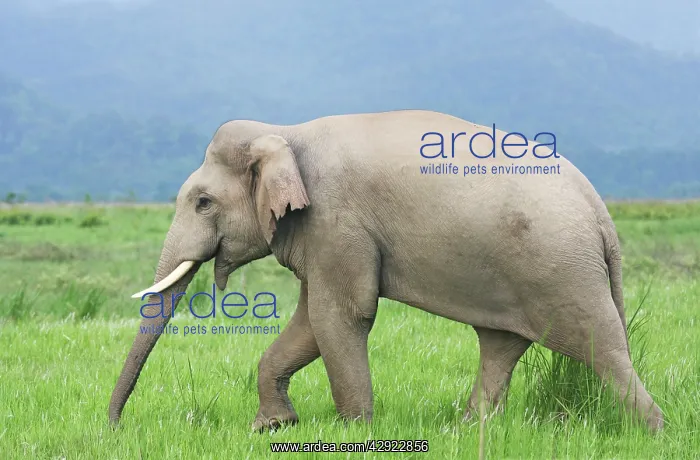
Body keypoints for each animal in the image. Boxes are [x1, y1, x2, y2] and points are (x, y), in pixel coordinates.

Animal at [109, 109, 663, 433]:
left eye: (202, 202)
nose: (114, 427)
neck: (284, 133)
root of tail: (602, 214)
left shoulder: (336, 219)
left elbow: (341, 315)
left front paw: (355, 431)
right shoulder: (321, 231)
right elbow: (311, 321)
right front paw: (272, 427)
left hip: (562, 270)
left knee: (603, 350)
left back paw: (652, 432)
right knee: (501, 345)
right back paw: (467, 431)